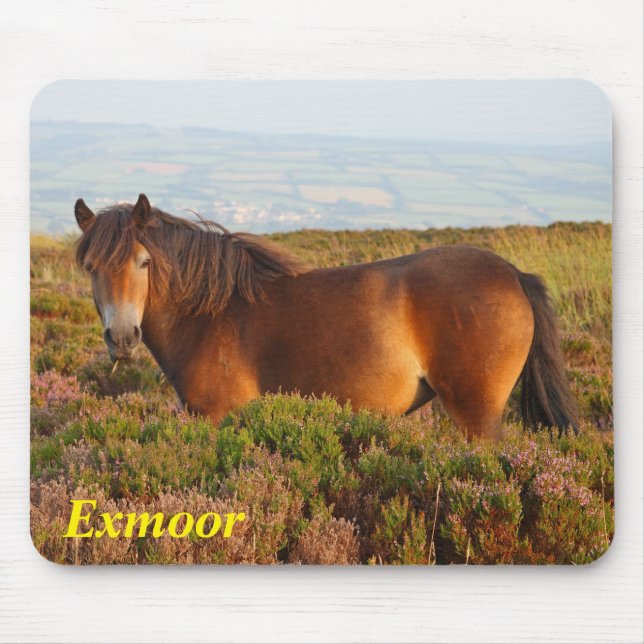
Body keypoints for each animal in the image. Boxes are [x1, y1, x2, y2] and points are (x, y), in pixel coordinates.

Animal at [73, 193, 578, 440]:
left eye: (144, 262)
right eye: (91, 267)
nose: (123, 337)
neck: (210, 316)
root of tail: (514, 275)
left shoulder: (219, 417)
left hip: (479, 416)